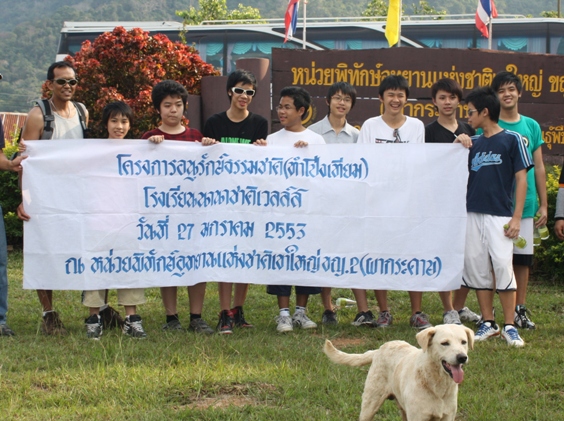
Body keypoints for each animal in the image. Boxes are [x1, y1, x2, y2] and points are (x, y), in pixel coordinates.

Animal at [324, 324, 474, 418]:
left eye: (463, 342)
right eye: (445, 343)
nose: (462, 357)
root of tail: (379, 349)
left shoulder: (448, 416)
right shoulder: (418, 417)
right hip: (370, 405)